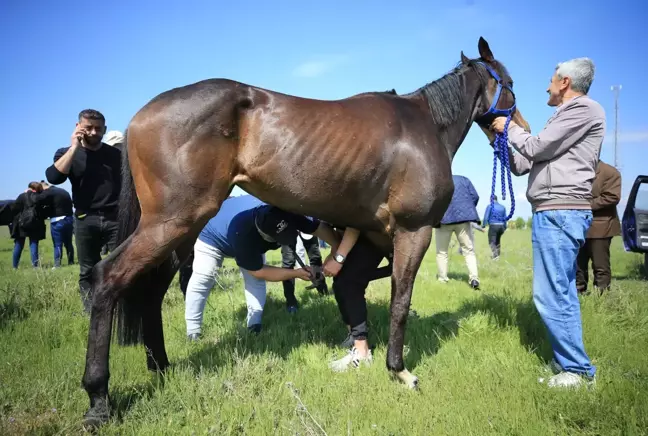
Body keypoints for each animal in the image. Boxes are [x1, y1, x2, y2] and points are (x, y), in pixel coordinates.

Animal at [81, 37, 528, 426]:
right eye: (511, 85)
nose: (519, 142)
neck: (424, 127)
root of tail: (140, 116)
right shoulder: (412, 230)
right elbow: (400, 301)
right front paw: (399, 371)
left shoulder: (379, 234)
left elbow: (362, 287)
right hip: (172, 222)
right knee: (107, 280)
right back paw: (98, 399)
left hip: (179, 232)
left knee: (149, 292)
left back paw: (160, 366)